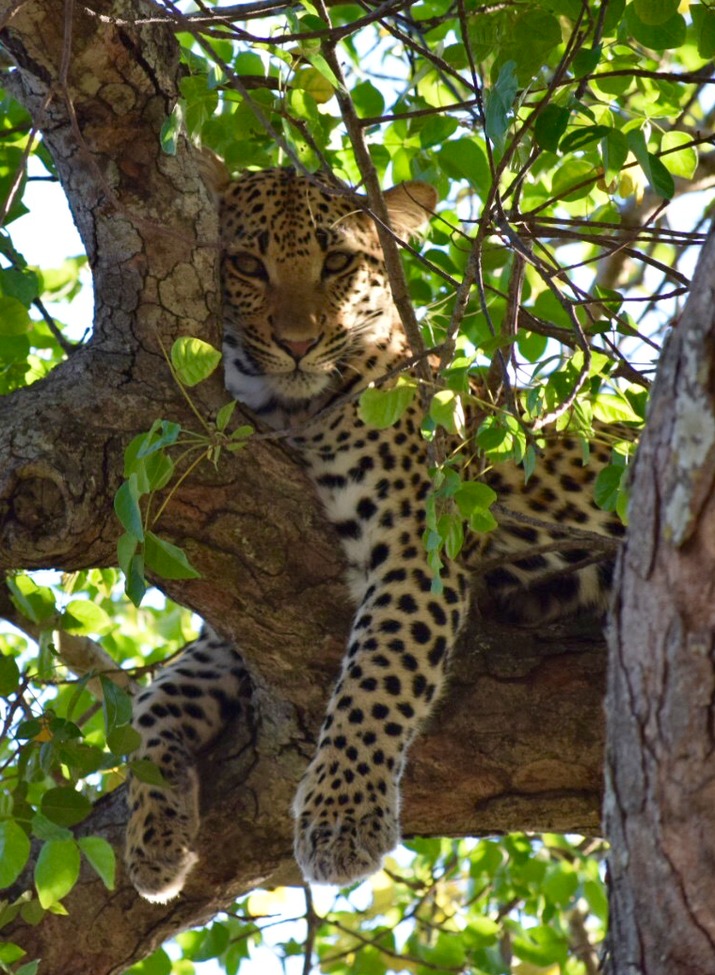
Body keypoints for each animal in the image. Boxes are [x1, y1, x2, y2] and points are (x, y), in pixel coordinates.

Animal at [125, 165, 626, 903]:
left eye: (336, 263)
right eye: (246, 264)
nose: (297, 343)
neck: (291, 417)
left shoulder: (417, 547)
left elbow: (377, 675)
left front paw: (341, 818)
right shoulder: (231, 626)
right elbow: (157, 696)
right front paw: (154, 836)